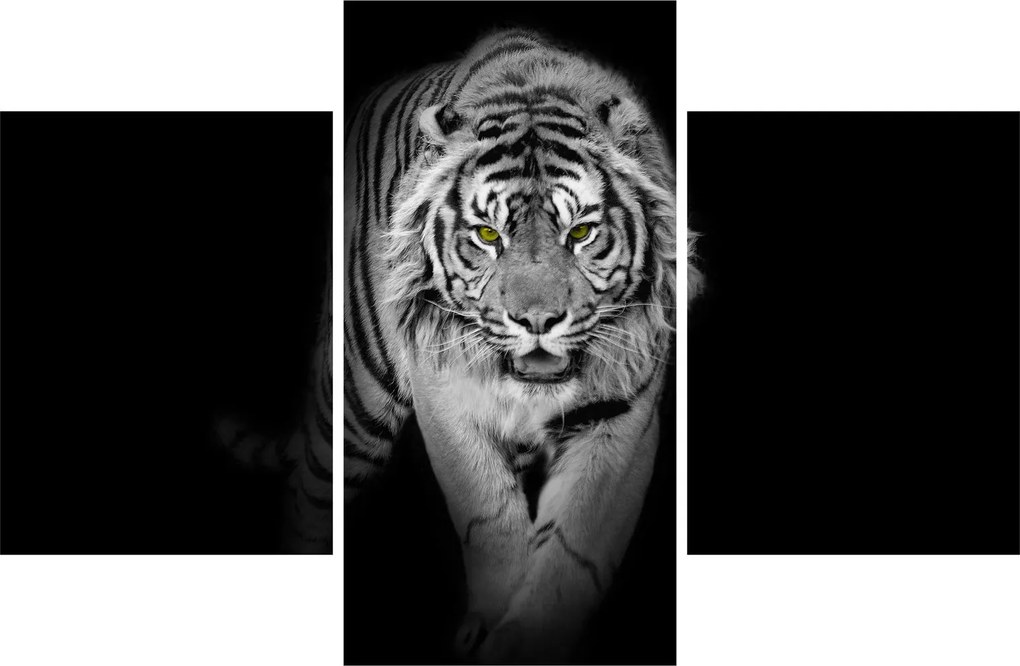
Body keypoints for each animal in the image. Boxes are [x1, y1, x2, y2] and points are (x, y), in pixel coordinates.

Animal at [346, 29, 692, 662]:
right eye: (487, 235)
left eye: (581, 232)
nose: (536, 319)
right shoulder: (445, 400)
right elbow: (489, 516)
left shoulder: (623, 416)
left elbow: (573, 547)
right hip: (357, 404)